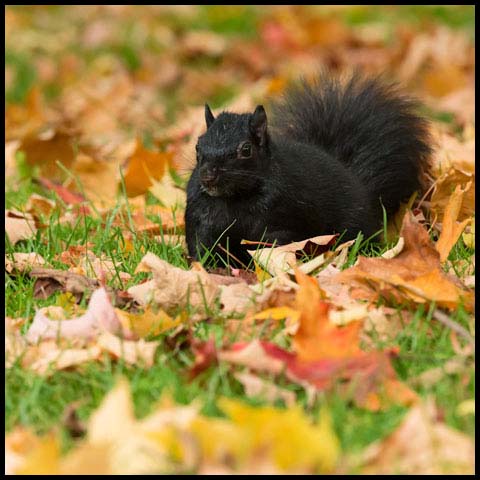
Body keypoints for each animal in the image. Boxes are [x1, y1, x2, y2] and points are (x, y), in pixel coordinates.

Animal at [184, 72, 432, 266]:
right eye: (198, 146)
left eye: (246, 150)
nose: (208, 177)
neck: (234, 199)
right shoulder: (200, 218)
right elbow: (201, 245)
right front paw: (206, 269)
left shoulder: (280, 222)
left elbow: (272, 249)